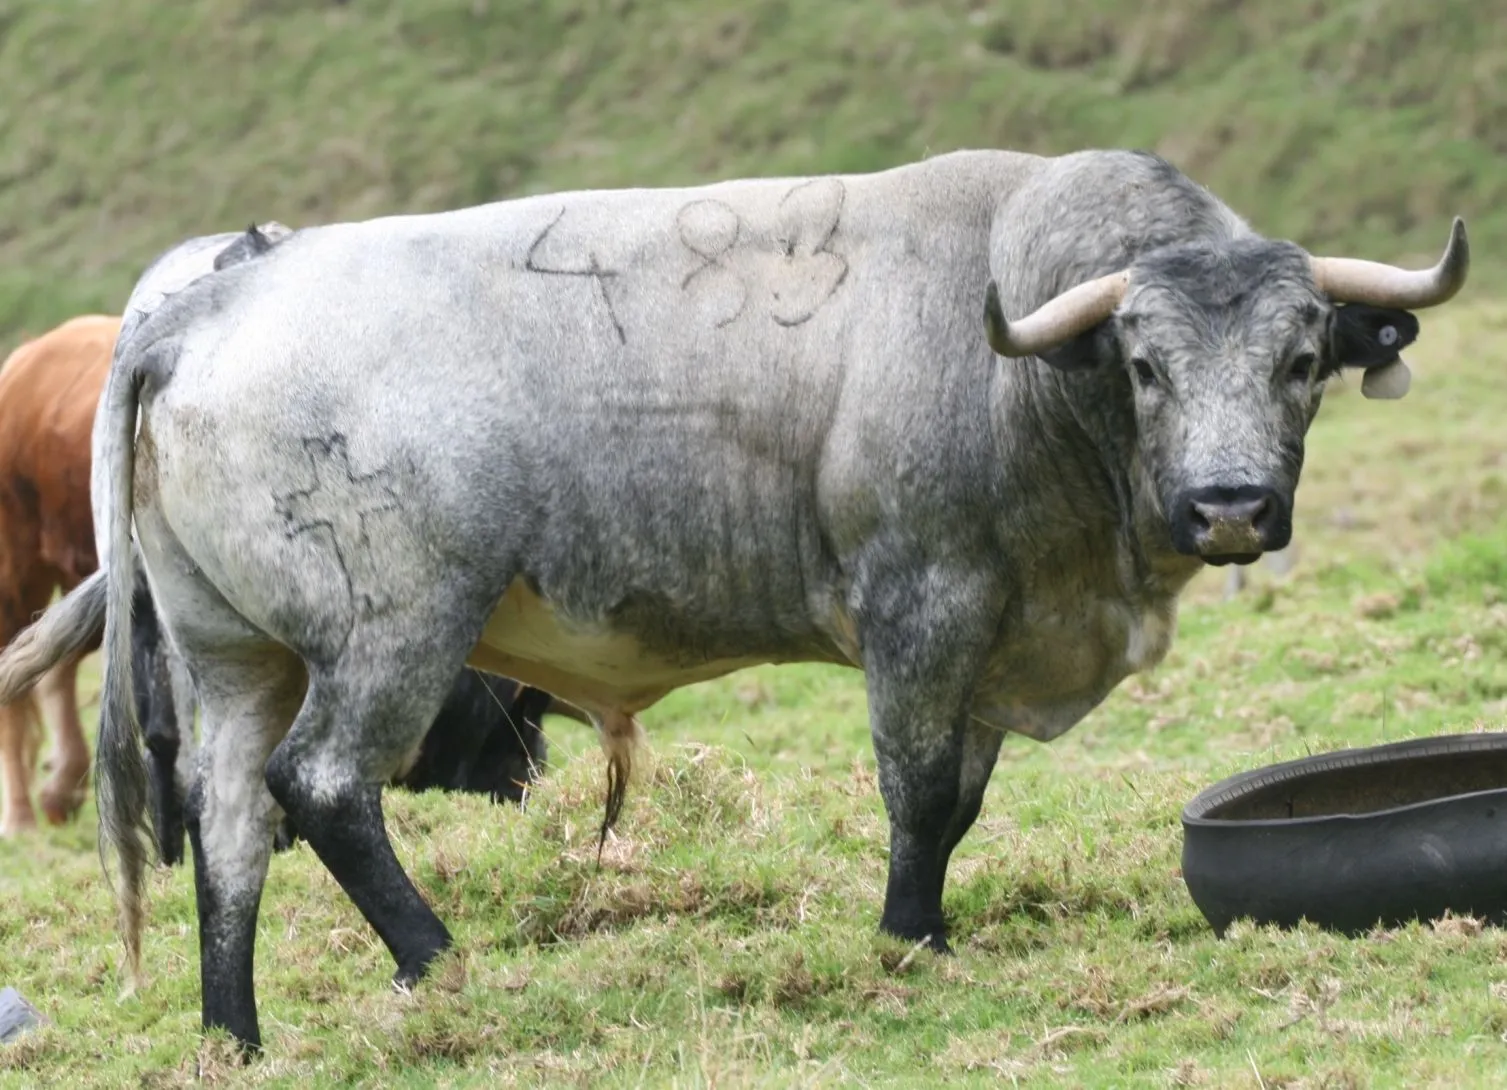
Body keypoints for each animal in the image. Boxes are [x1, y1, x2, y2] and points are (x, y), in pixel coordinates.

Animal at [0, 149, 1470, 1055]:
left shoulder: (990, 638)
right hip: (387, 638)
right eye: (1145, 361)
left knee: (230, 823)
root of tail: (204, 306)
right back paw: (438, 963)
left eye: (1299, 360)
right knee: (320, 789)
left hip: (235, 655)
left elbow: (961, 800)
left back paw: (233, 1028)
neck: (1014, 355)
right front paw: (907, 940)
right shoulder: (921, 611)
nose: (1228, 507)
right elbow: (918, 793)